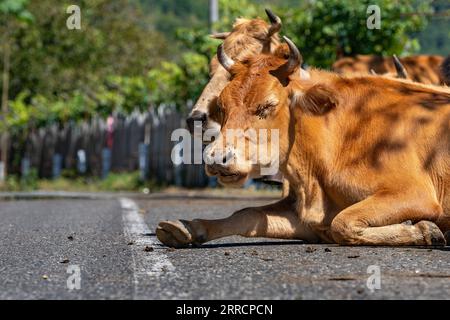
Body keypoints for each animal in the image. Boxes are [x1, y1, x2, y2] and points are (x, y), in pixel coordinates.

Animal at [156, 37, 448, 248]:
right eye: (223, 107)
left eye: (267, 106)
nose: (217, 158)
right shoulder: (307, 215)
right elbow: (247, 214)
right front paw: (188, 227)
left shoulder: (415, 193)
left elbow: (343, 223)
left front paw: (424, 229)